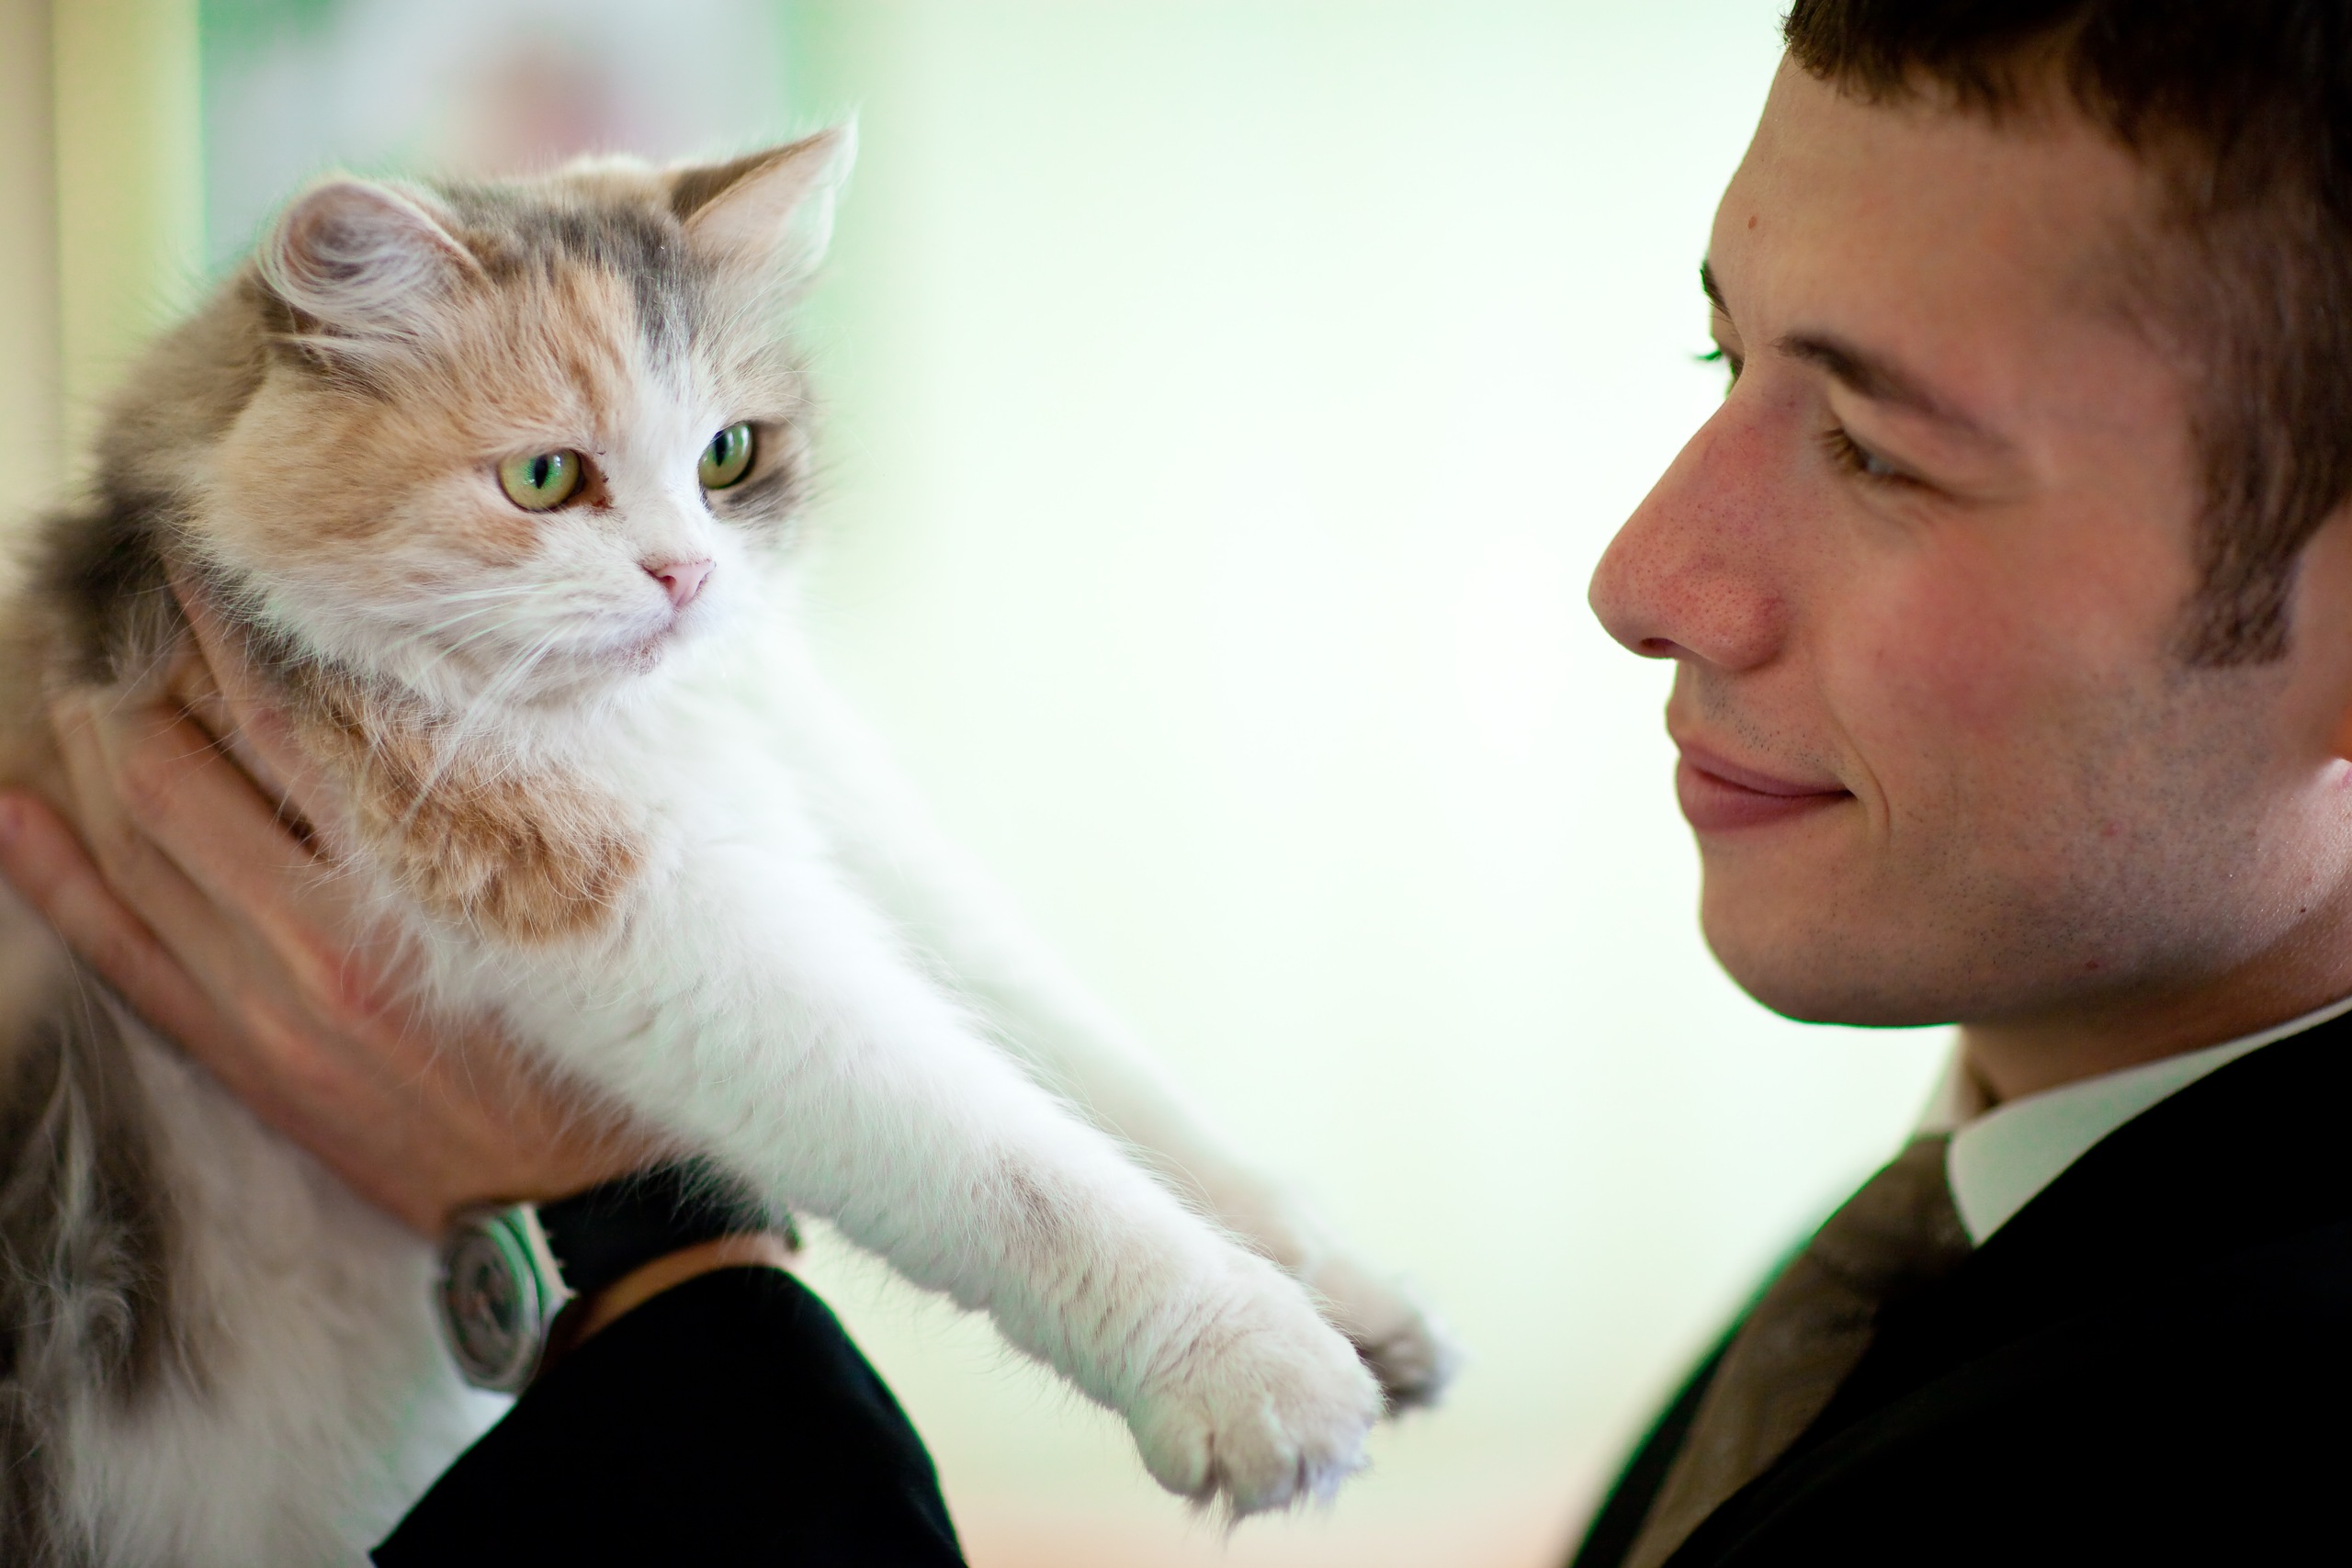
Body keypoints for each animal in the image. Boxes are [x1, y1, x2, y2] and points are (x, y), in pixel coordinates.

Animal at [0, 129, 1458, 1563]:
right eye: (545, 477)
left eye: (727, 457)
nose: (687, 578)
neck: (664, 723)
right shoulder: (647, 914)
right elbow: (1004, 1158)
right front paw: (1255, 1362)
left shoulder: (836, 813)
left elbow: (1100, 1071)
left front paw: (1351, 1296)